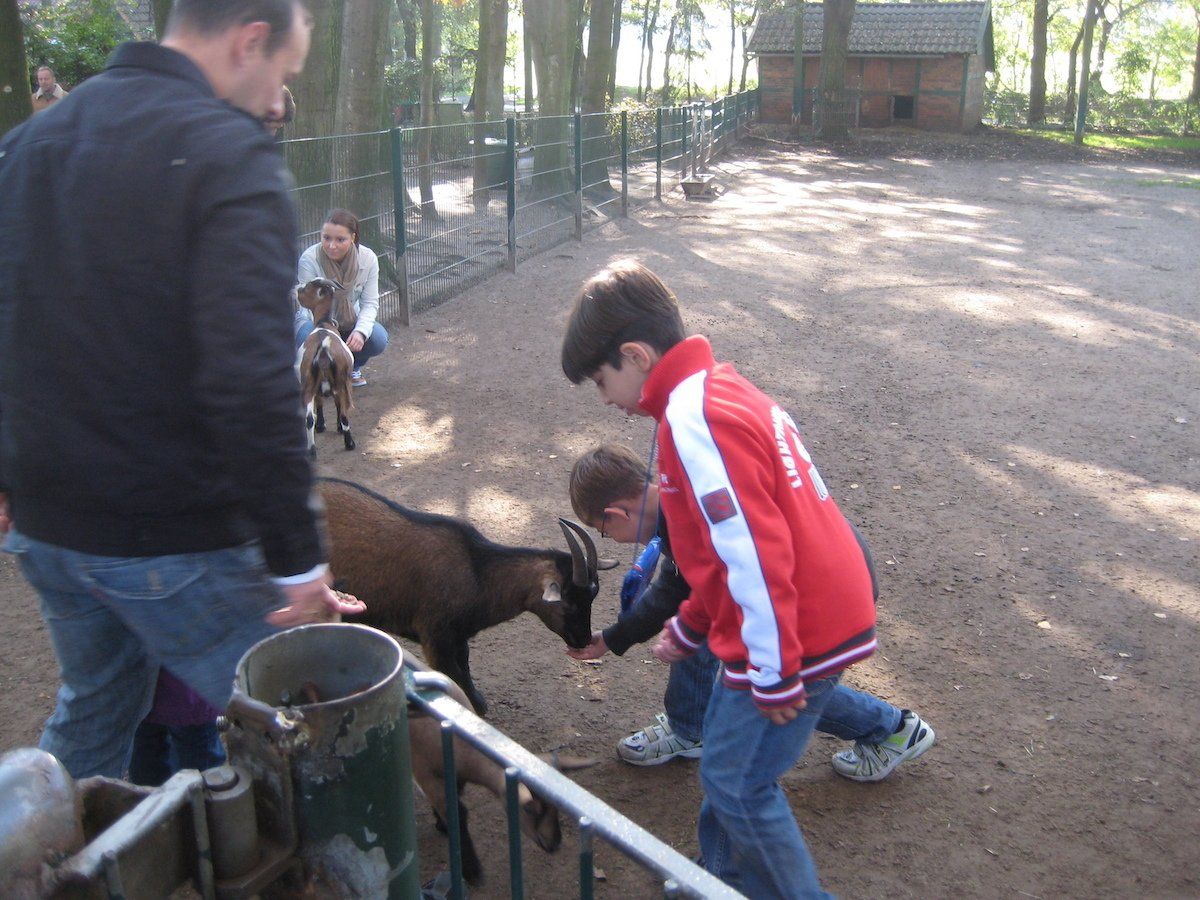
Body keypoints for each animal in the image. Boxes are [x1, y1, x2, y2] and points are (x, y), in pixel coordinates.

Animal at [294, 278, 355, 457]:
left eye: (305, 289)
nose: (296, 288)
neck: (324, 324)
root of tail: (323, 347)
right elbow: (334, 405)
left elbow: (320, 402)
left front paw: (321, 426)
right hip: (342, 383)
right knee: (344, 413)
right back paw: (350, 444)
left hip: (308, 383)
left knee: (309, 418)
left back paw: (312, 452)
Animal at [318, 477, 600, 717]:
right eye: (569, 602)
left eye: (591, 598)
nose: (584, 640)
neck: (478, 573)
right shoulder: (435, 638)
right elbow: (452, 675)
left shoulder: (459, 637)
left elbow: (464, 666)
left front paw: (478, 703)